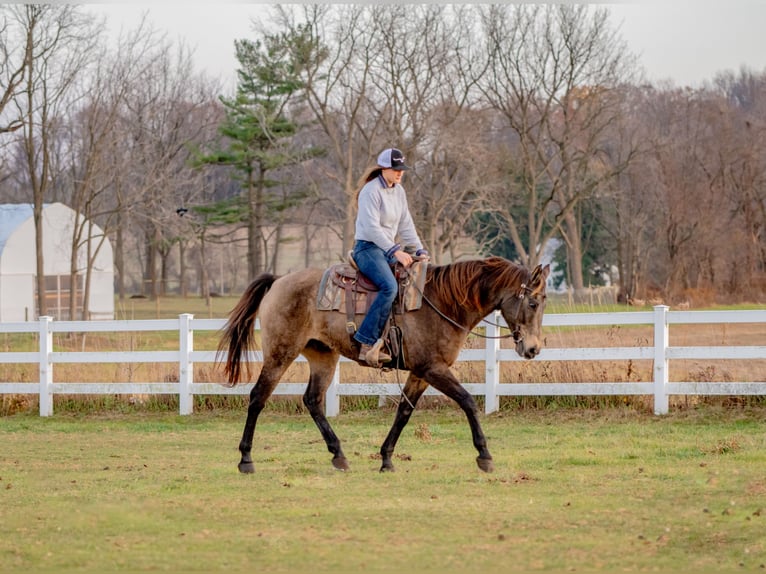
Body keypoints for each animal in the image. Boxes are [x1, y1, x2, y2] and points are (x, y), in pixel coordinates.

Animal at [218, 258, 552, 474]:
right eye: (533, 303)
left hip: (323, 355)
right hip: (280, 353)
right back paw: (246, 459)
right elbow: (468, 401)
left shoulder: (421, 372)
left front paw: (386, 458)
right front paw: (484, 454)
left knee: (312, 400)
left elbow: (404, 411)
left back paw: (338, 455)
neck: (442, 304)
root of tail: (278, 281)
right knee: (258, 397)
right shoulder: (433, 368)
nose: (533, 348)